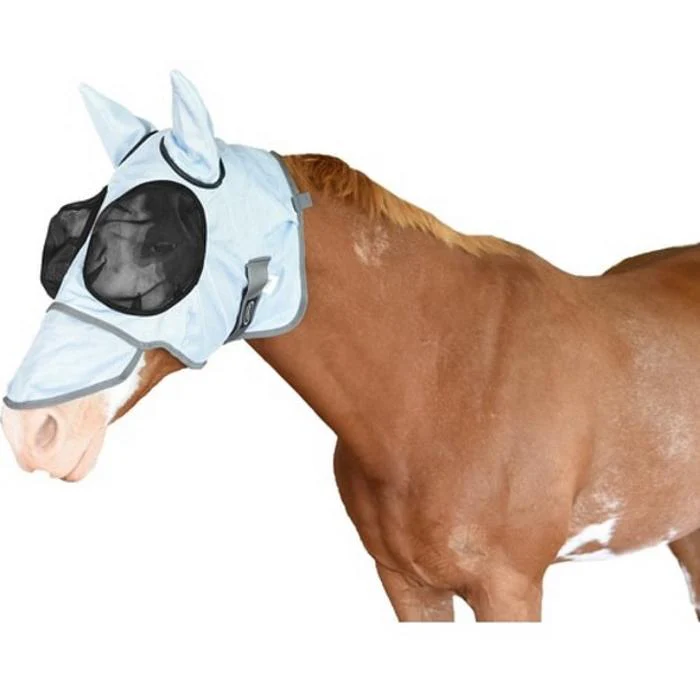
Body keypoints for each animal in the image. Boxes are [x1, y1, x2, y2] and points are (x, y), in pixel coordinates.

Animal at [4, 75, 700, 622]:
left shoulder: (510, 590)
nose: (36, 432)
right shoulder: (407, 586)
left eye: (160, 245)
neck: (446, 377)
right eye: (62, 237)